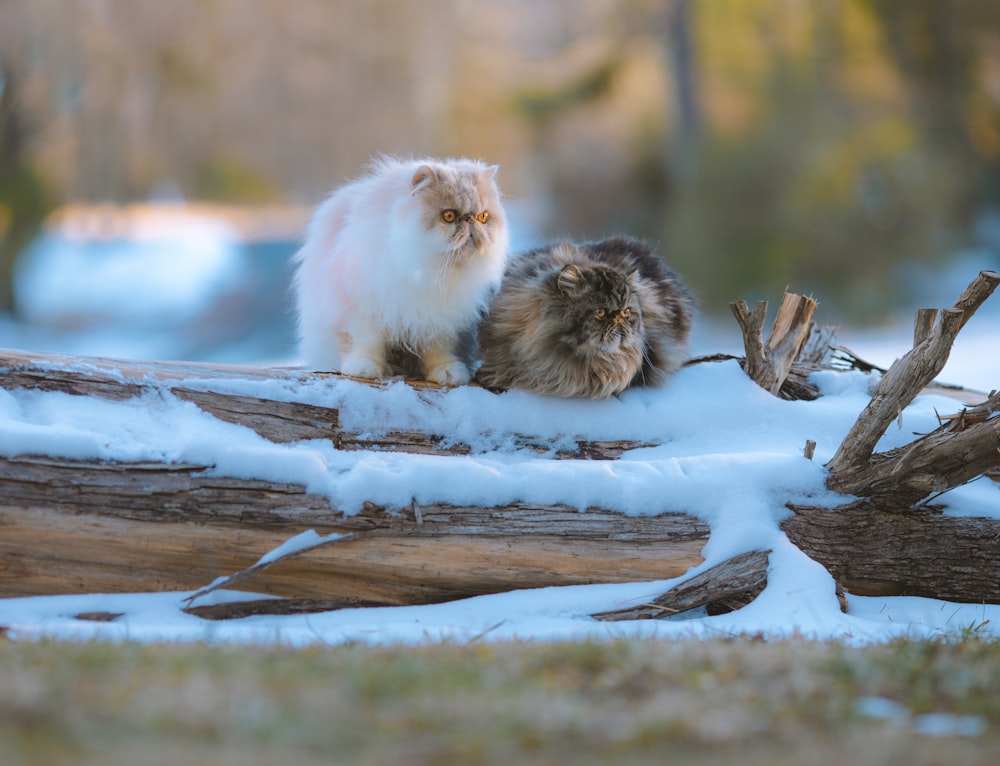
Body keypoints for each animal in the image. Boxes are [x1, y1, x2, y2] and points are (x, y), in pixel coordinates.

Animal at [290, 155, 508, 384]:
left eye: (483, 217)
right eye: (448, 216)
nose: (470, 221)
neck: (431, 271)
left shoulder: (440, 318)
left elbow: (438, 349)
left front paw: (448, 373)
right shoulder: (360, 308)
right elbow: (366, 342)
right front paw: (364, 368)